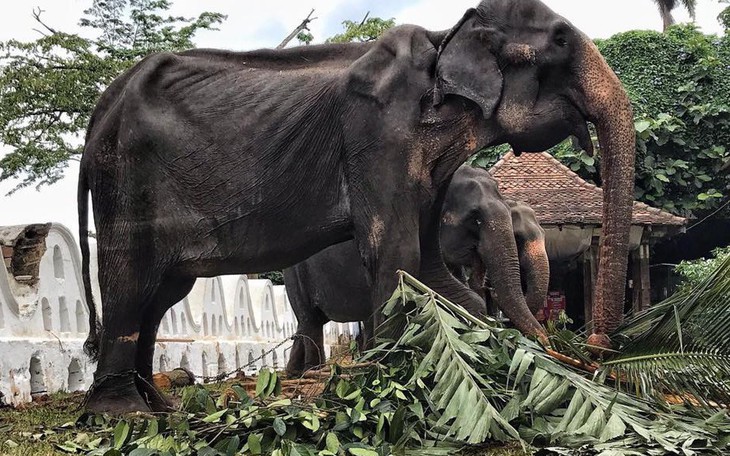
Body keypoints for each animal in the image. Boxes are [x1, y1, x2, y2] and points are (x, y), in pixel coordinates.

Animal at [282, 164, 548, 374]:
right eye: (475, 218)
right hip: (294, 274)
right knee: (310, 321)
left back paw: (295, 373)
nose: (547, 344)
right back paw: (313, 373)